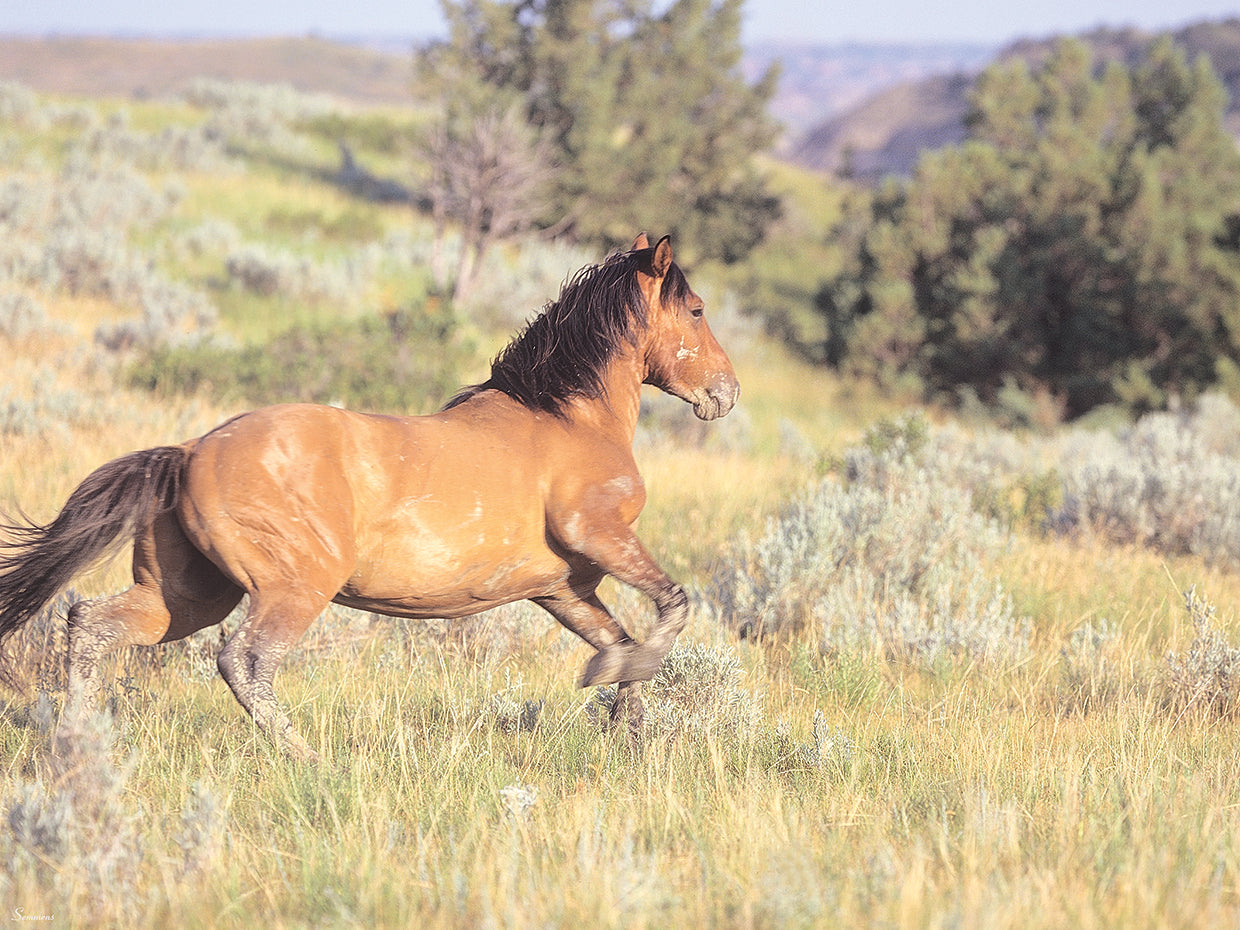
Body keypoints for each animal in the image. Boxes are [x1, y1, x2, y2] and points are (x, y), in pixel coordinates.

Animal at [0, 234, 739, 761]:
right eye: (697, 311)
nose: (726, 394)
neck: (569, 419)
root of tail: (188, 454)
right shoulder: (601, 535)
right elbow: (672, 607)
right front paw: (614, 695)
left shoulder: (562, 587)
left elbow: (621, 641)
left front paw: (627, 739)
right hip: (293, 589)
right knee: (246, 661)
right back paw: (305, 759)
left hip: (187, 596)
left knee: (89, 624)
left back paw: (76, 742)